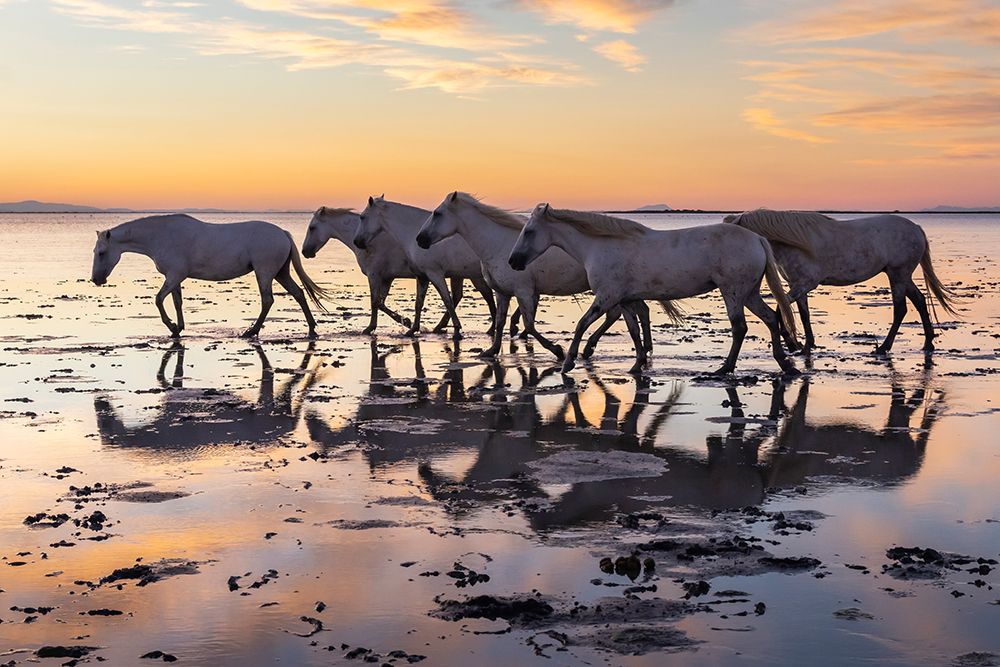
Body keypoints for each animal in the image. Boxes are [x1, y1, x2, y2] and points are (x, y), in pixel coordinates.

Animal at [91, 214, 329, 339]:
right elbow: (177, 302)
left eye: (101, 253)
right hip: (281, 273)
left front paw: (171, 326)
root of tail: (283, 234)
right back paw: (311, 328)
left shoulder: (174, 275)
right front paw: (178, 329)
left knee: (268, 300)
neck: (161, 236)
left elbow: (158, 300)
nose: (96, 279)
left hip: (265, 272)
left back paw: (251, 331)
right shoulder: (175, 277)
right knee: (298, 294)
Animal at [353, 196, 498, 339]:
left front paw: (457, 330)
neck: (413, 234)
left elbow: (447, 301)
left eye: (362, 217)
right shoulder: (422, 276)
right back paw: (491, 329)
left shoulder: (435, 274)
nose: (357, 241)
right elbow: (419, 303)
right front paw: (412, 329)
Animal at [415, 191, 661, 360]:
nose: (420, 239)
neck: (497, 245)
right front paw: (491, 350)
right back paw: (638, 347)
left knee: (617, 314)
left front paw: (558, 350)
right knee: (639, 310)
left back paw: (591, 348)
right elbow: (500, 321)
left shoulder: (523, 291)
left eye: (437, 214)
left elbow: (530, 324)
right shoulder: (503, 293)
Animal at [508, 204, 799, 376]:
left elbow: (581, 324)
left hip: (734, 293)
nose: (513, 261)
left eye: (529, 231)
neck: (599, 246)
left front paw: (568, 361)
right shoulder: (625, 300)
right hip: (749, 293)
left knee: (740, 328)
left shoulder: (606, 298)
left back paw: (724, 369)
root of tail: (757, 239)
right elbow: (634, 331)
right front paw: (637, 365)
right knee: (771, 318)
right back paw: (784, 363)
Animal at [724, 209, 960, 354]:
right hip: (901, 275)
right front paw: (807, 345)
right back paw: (928, 343)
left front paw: (792, 343)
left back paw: (884, 347)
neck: (794, 243)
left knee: (900, 309)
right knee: (919, 301)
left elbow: (781, 308)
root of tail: (916, 228)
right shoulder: (797, 285)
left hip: (898, 275)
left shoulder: (804, 284)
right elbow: (804, 314)